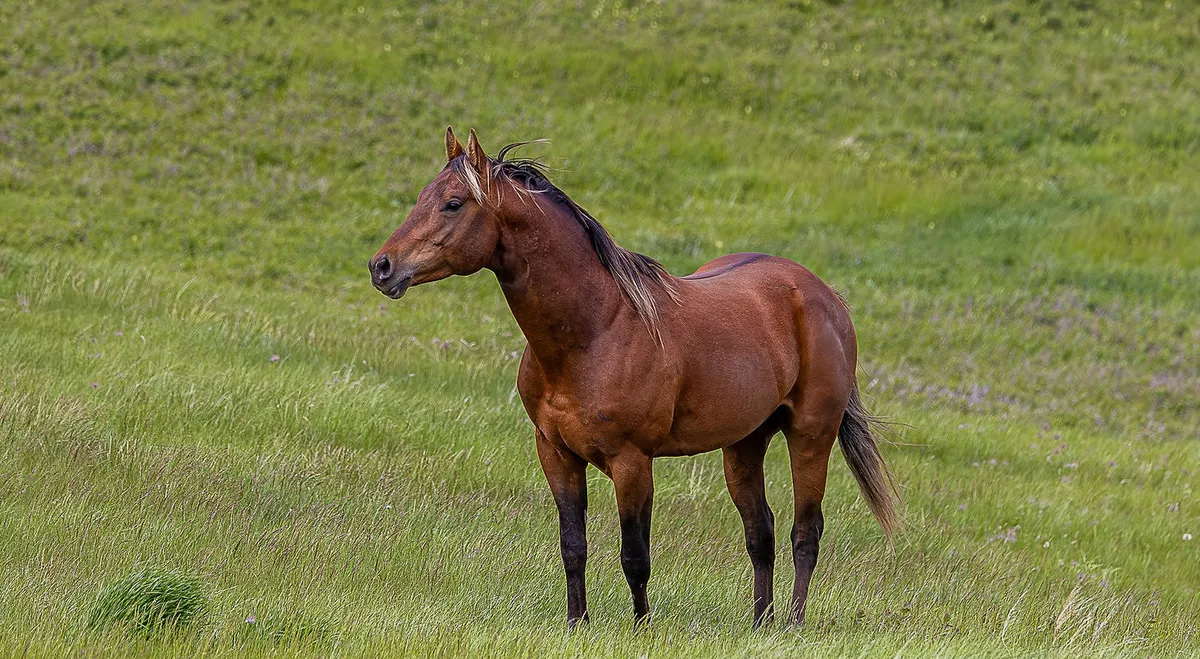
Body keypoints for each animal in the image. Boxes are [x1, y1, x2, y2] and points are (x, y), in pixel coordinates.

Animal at [370, 127, 898, 629]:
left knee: (805, 533)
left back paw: (791, 624)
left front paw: (642, 628)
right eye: (423, 195)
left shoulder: (632, 463)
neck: (597, 329)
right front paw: (577, 623)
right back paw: (760, 623)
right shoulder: (556, 454)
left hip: (811, 437)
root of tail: (822, 295)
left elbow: (635, 556)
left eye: (453, 203)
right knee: (760, 532)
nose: (382, 267)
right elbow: (573, 547)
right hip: (743, 444)